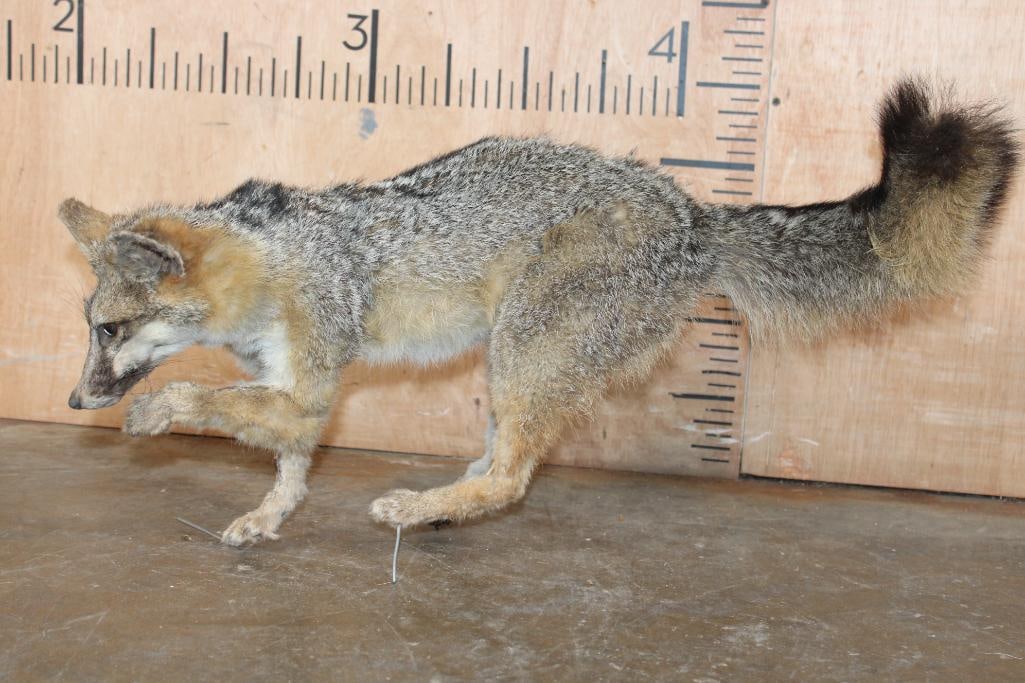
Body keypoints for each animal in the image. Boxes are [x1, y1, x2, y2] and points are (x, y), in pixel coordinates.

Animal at [61, 79, 1017, 546]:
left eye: (110, 331)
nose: (75, 401)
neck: (279, 256)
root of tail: (694, 214)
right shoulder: (295, 392)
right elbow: (286, 460)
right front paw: (270, 515)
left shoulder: (306, 385)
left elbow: (209, 398)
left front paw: (154, 411)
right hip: (513, 362)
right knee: (502, 467)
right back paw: (439, 509)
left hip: (521, 347)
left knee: (514, 477)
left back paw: (416, 509)